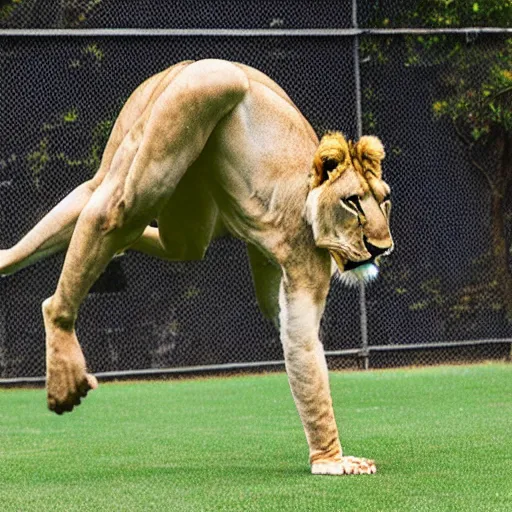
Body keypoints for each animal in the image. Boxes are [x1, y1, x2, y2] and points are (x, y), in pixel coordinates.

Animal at [0, 60, 392, 476]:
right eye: (353, 202)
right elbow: (303, 349)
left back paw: (15, 258)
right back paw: (59, 333)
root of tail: (185, 67)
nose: (382, 248)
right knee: (114, 210)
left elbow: (280, 319)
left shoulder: (273, 269)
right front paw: (331, 460)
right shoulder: (307, 263)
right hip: (193, 102)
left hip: (176, 185)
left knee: (102, 202)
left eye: (384, 201)